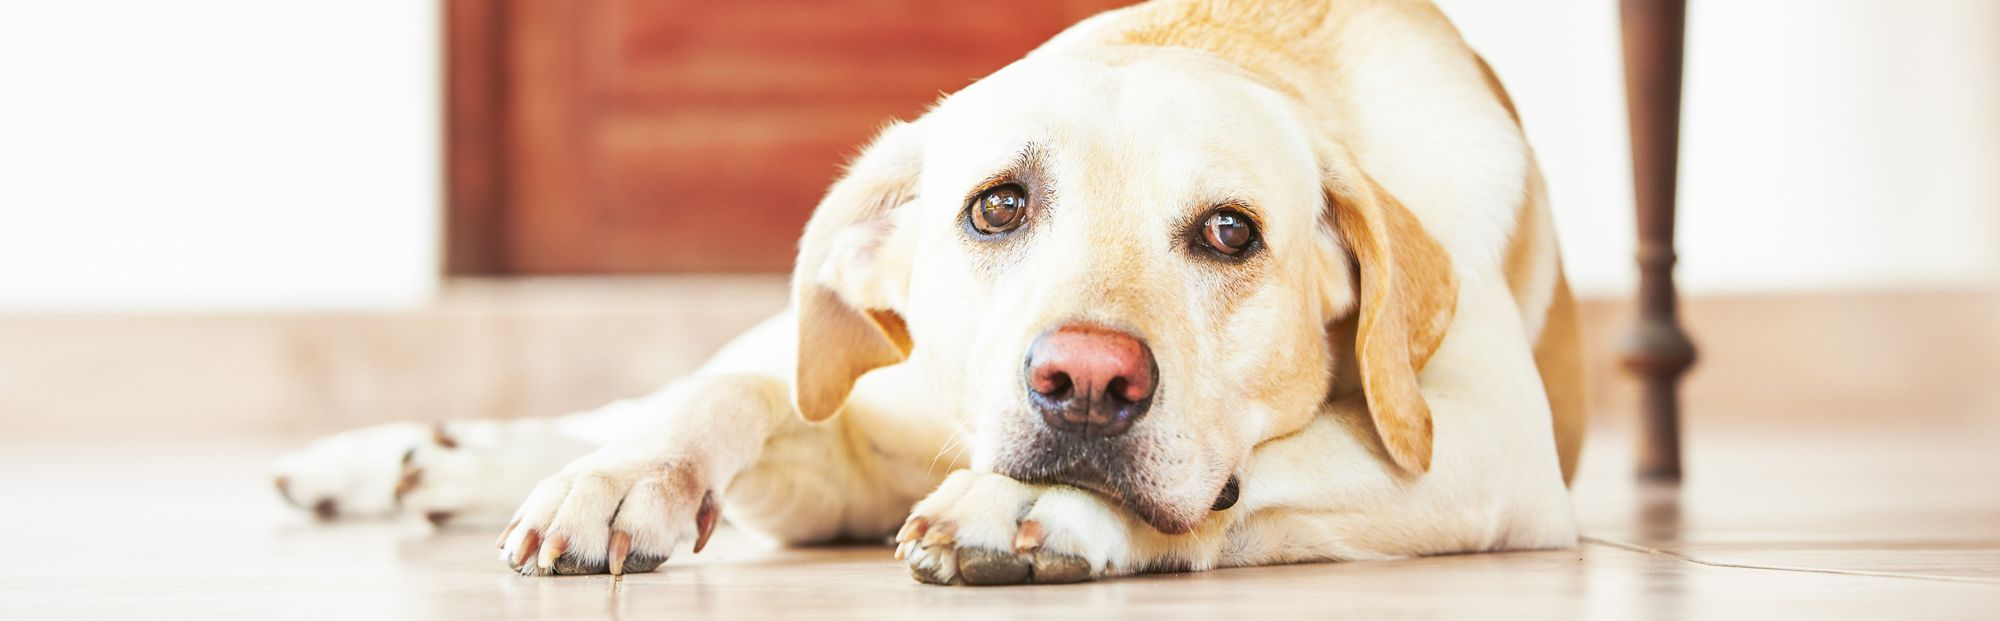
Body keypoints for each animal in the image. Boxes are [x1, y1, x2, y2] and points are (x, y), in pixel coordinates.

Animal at [274, 0, 1576, 584]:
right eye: (995, 207)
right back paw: (409, 460)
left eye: (1227, 233)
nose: (1084, 383)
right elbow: (728, 395)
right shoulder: (826, 413)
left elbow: (1260, 472)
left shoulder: (1490, 450)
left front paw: (1034, 506)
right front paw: (628, 481)